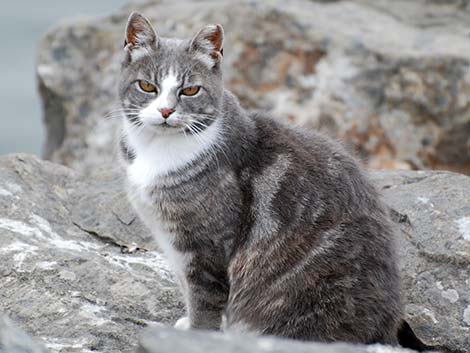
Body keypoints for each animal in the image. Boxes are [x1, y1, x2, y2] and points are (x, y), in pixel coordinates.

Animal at [117, 12, 404, 346]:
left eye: (190, 91)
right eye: (147, 86)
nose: (165, 110)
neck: (156, 150)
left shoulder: (206, 247)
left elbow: (203, 300)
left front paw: (195, 335)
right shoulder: (171, 242)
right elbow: (189, 291)